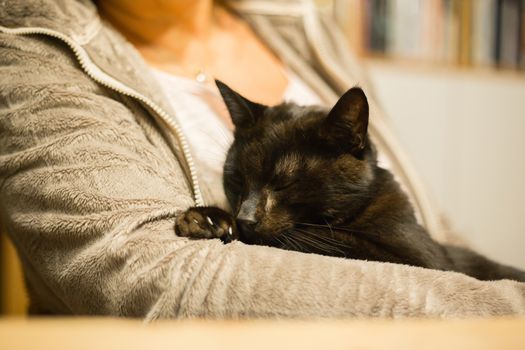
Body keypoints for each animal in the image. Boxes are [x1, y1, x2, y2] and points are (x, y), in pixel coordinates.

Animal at [175, 80, 524, 282]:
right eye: (236, 180)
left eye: (285, 183)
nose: (246, 217)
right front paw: (210, 219)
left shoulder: (421, 260)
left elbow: (316, 238)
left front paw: (213, 219)